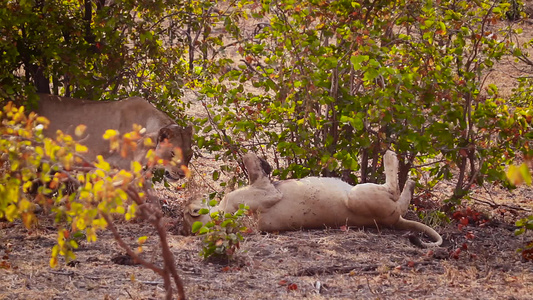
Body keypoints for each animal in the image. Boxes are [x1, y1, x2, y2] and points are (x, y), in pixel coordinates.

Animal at [185, 150, 442, 248]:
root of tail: (395, 223)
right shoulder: (268, 193)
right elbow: (250, 160)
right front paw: (262, 163)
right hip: (359, 195)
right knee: (395, 191)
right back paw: (392, 159)